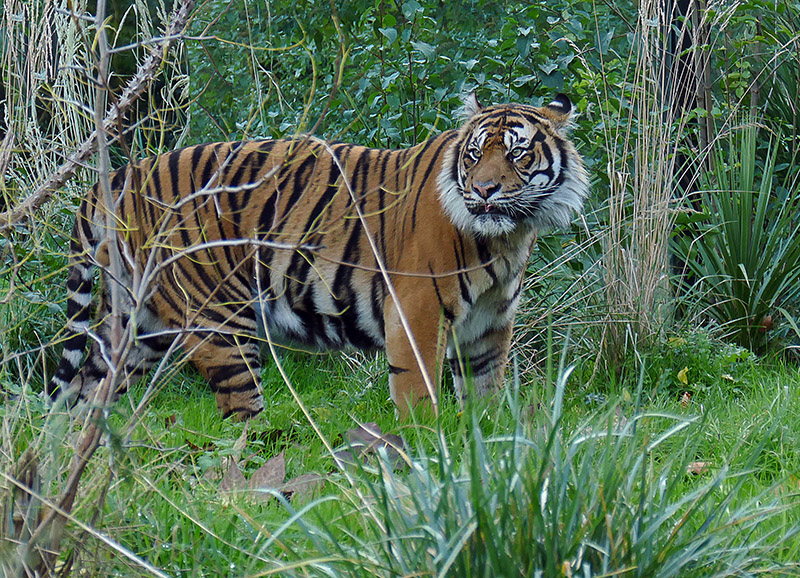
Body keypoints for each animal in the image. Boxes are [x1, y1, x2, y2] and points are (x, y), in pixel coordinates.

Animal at [47, 93, 589, 420]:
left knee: (87, 396)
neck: (506, 237)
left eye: (517, 154)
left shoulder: (489, 327)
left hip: (137, 325)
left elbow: (485, 397)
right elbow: (418, 398)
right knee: (240, 417)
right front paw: (425, 456)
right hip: (220, 324)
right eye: (474, 154)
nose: (483, 190)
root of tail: (119, 176)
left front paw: (484, 453)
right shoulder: (415, 313)